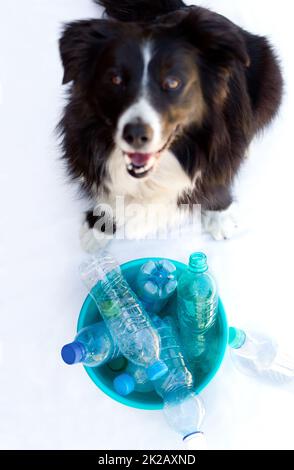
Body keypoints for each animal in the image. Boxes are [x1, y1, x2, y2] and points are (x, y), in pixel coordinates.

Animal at [58, 0, 282, 252]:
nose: (136, 135)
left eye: (173, 82)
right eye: (115, 79)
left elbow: (218, 182)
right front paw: (98, 228)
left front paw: (219, 217)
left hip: (271, 80)